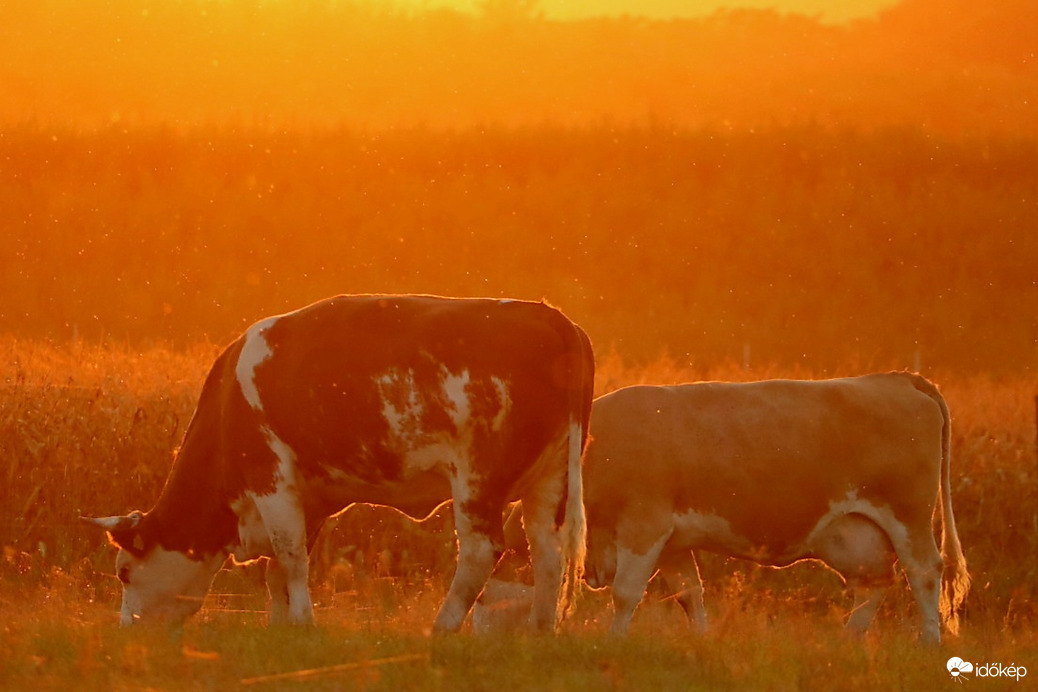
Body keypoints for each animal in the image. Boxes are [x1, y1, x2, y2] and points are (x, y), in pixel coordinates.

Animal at [83, 292, 593, 634]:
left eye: (124, 571)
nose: (128, 631)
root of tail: (546, 314)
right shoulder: (309, 497)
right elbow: (279, 569)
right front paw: (281, 627)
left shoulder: (270, 477)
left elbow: (289, 557)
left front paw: (304, 623)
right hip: (550, 480)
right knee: (548, 554)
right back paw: (540, 632)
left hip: (478, 479)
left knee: (481, 551)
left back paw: (442, 628)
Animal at [589, 373, 967, 643]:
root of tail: (897, 378)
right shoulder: (673, 543)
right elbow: (690, 593)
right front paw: (701, 639)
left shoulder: (644, 524)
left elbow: (625, 592)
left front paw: (613, 642)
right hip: (855, 533)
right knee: (873, 582)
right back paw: (848, 640)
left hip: (909, 515)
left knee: (925, 572)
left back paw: (929, 642)